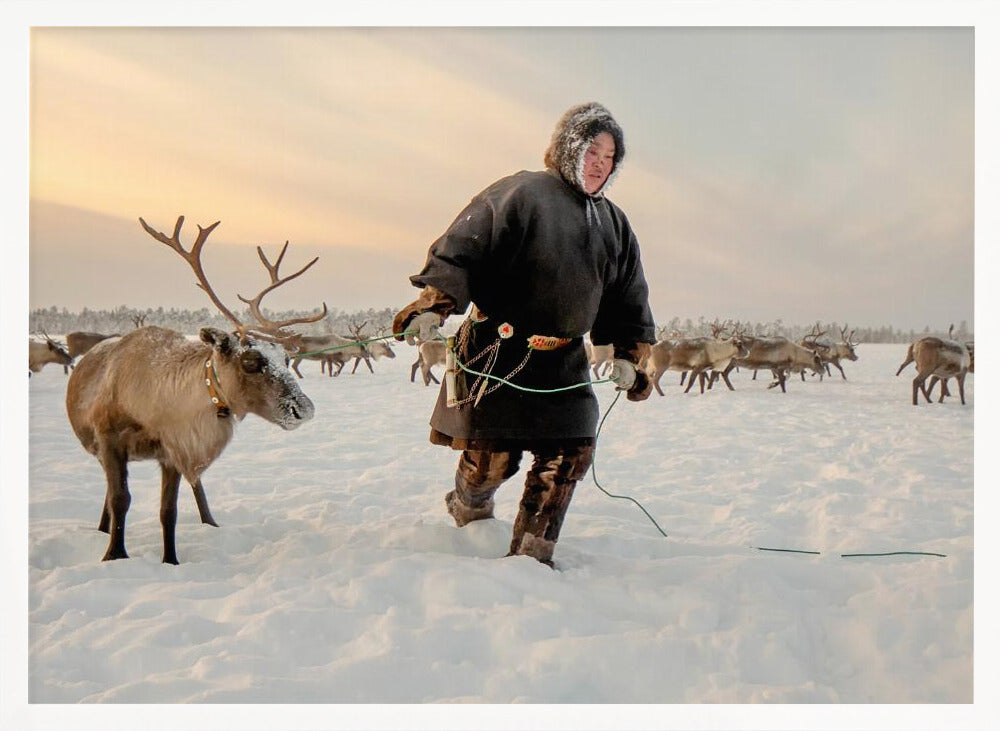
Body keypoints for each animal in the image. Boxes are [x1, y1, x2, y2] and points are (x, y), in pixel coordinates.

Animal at [66, 215, 326, 564]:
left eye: (286, 357)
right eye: (250, 361)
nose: (305, 409)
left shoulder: (174, 449)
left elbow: (169, 510)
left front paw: (170, 561)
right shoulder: (109, 439)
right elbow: (120, 497)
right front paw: (114, 555)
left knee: (197, 484)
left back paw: (210, 523)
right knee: (111, 491)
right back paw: (103, 528)